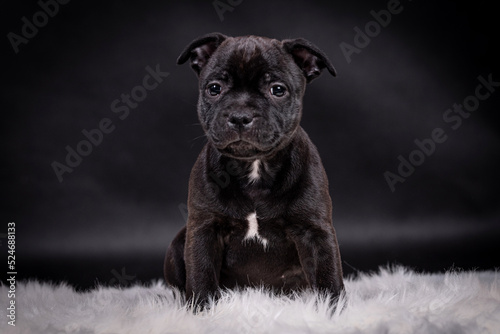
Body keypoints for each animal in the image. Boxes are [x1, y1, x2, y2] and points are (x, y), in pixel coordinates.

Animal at [164, 33, 344, 308]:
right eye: (214, 88)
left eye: (277, 90)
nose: (240, 116)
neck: (255, 166)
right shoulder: (204, 229)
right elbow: (201, 273)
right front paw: (202, 309)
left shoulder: (315, 231)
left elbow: (328, 277)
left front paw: (332, 311)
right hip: (177, 244)